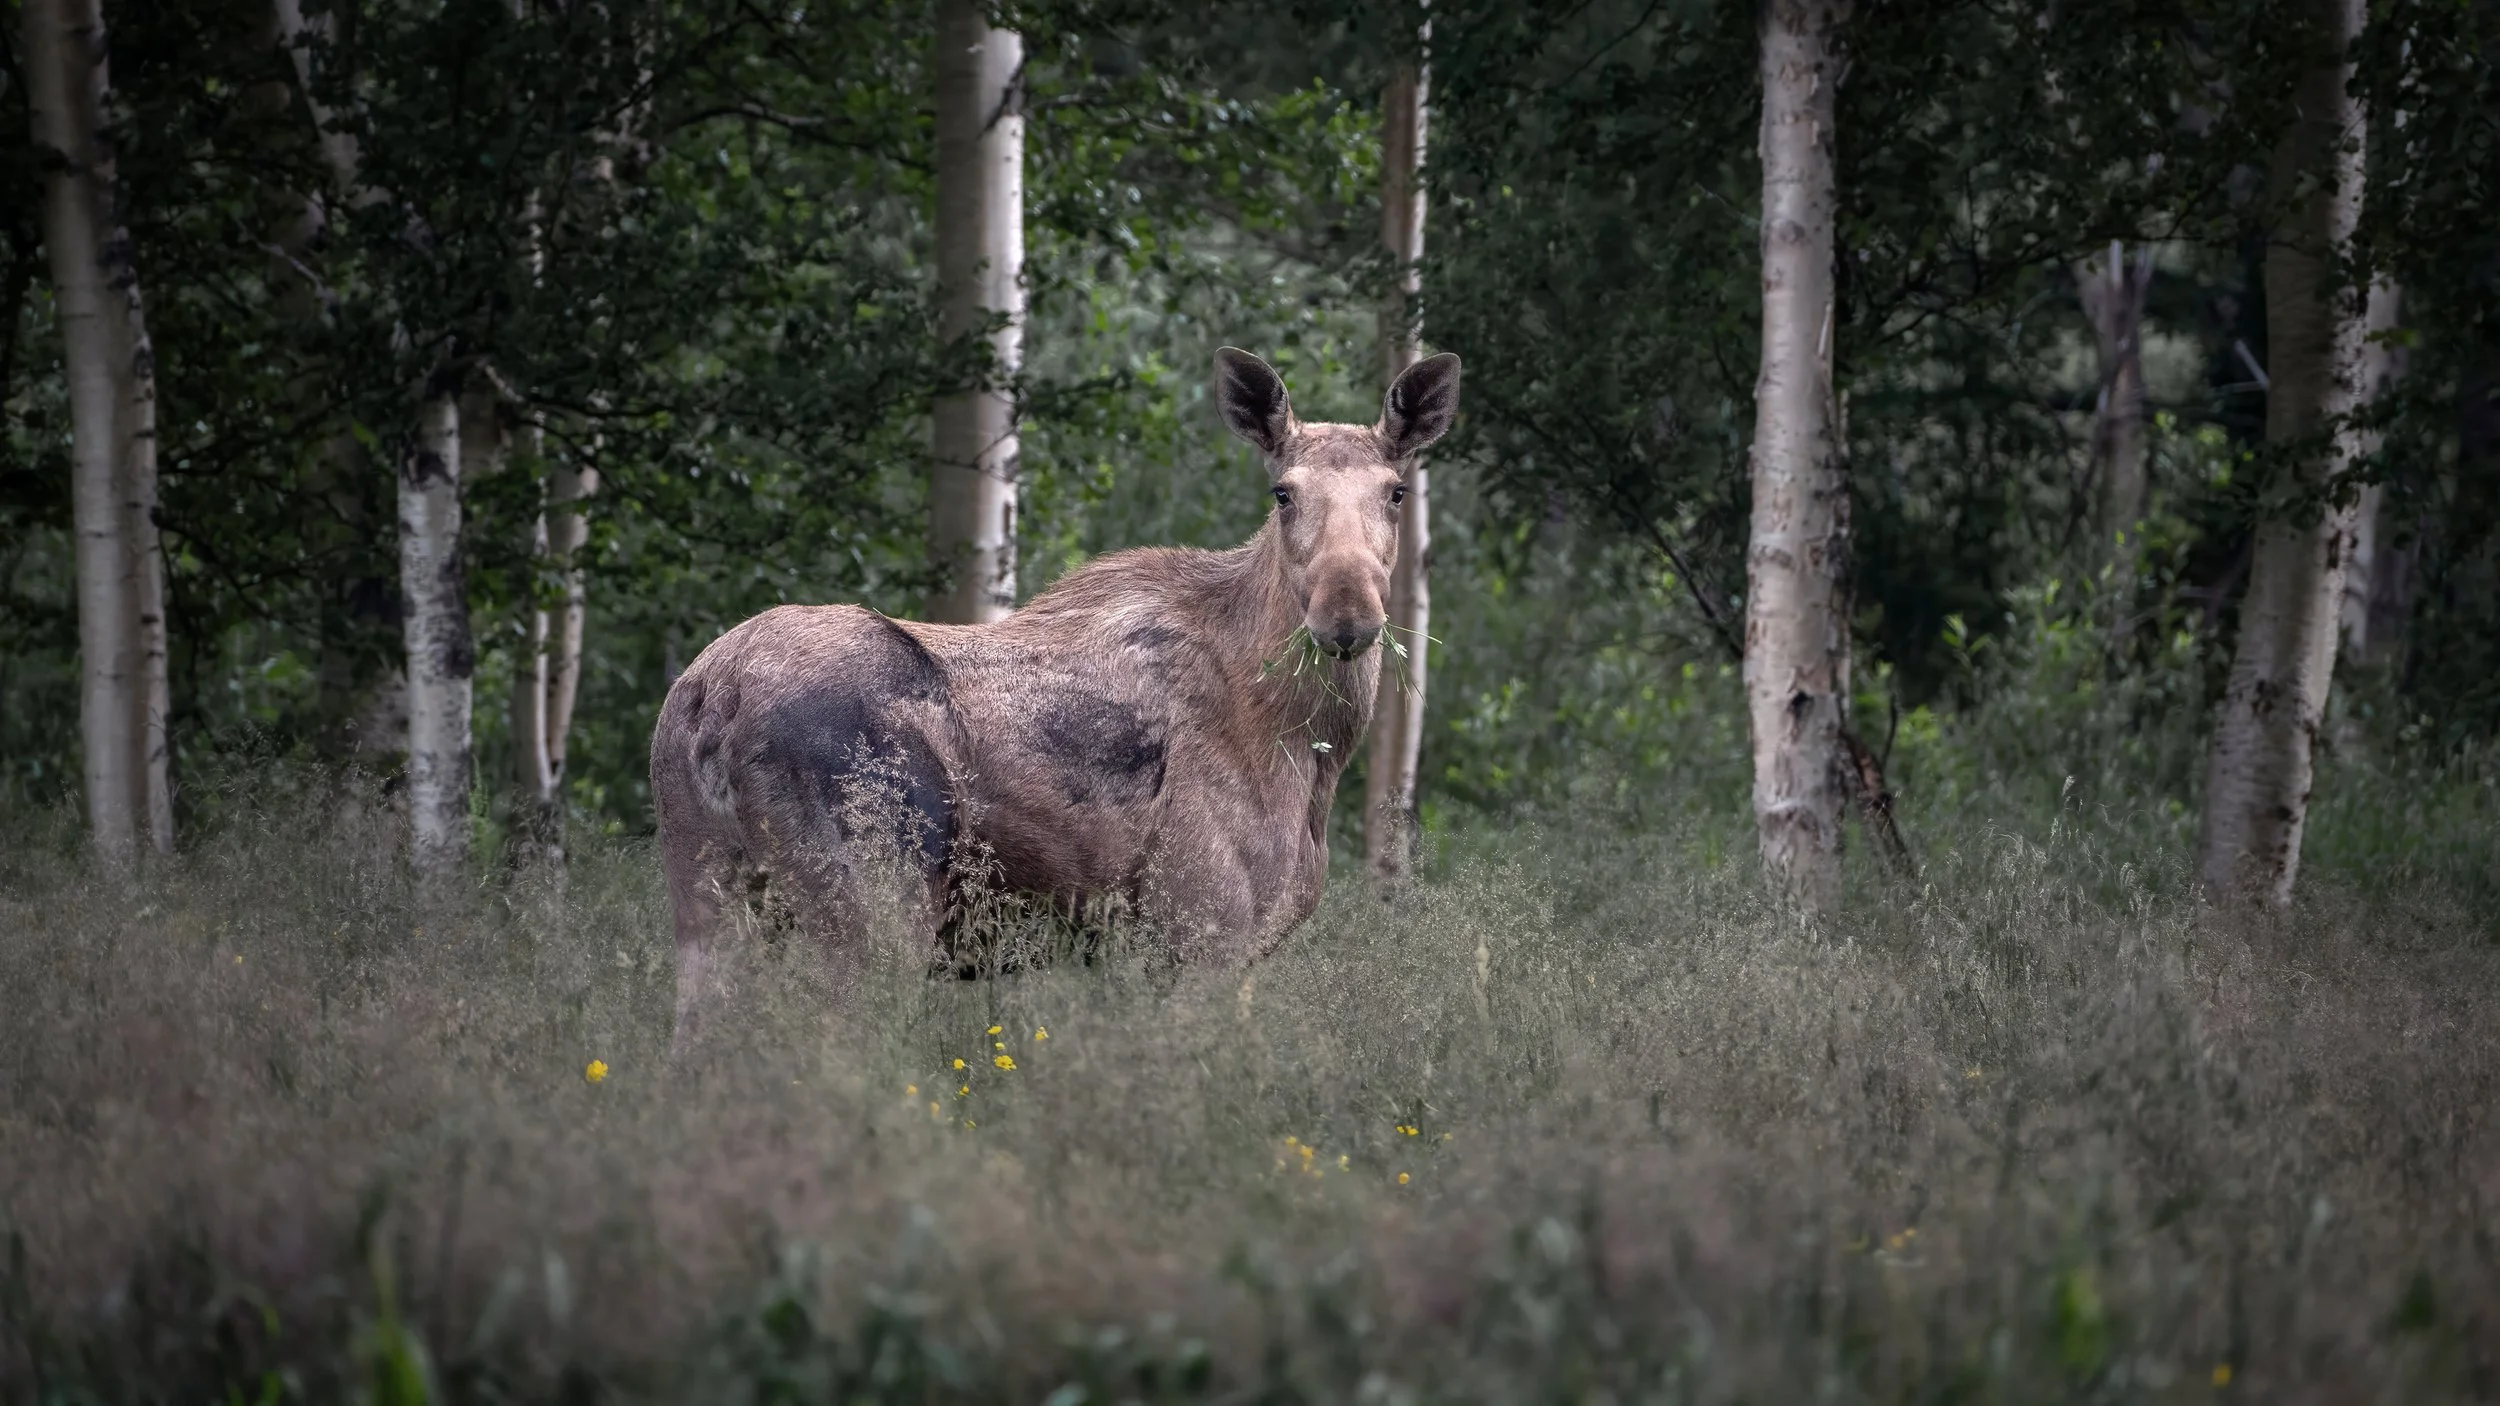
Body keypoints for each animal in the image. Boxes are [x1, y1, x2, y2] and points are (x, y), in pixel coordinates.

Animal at [650, 348, 1459, 1044]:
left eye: (1396, 492)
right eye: (1283, 493)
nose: (1347, 616)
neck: (1308, 750)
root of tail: (706, 696)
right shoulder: (1198, 930)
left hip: (704, 899)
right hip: (871, 913)